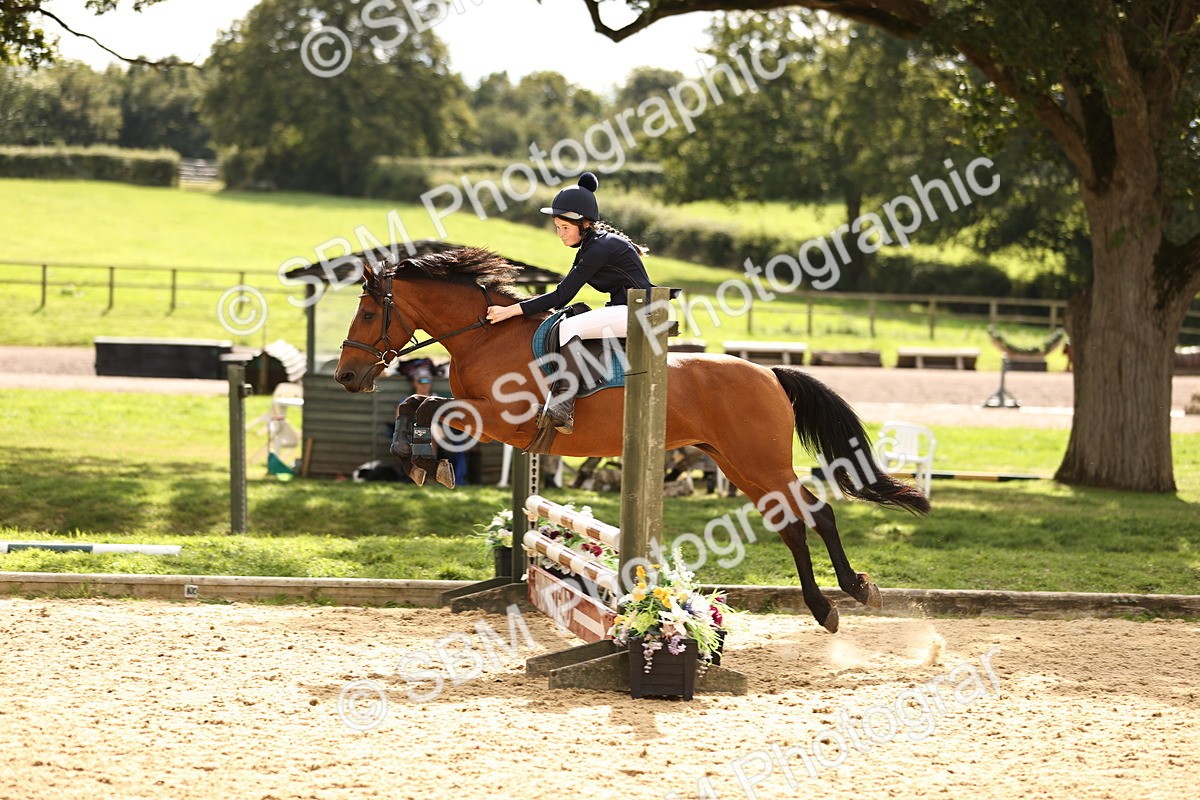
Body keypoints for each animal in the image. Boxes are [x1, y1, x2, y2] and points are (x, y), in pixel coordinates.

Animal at [334, 247, 930, 632]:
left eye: (367, 312)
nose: (345, 377)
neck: (484, 338)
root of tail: (769, 373)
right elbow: (416, 405)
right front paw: (420, 461)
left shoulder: (501, 419)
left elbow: (428, 406)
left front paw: (423, 462)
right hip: (736, 464)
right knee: (791, 524)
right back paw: (826, 607)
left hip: (760, 461)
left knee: (817, 514)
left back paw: (852, 592)